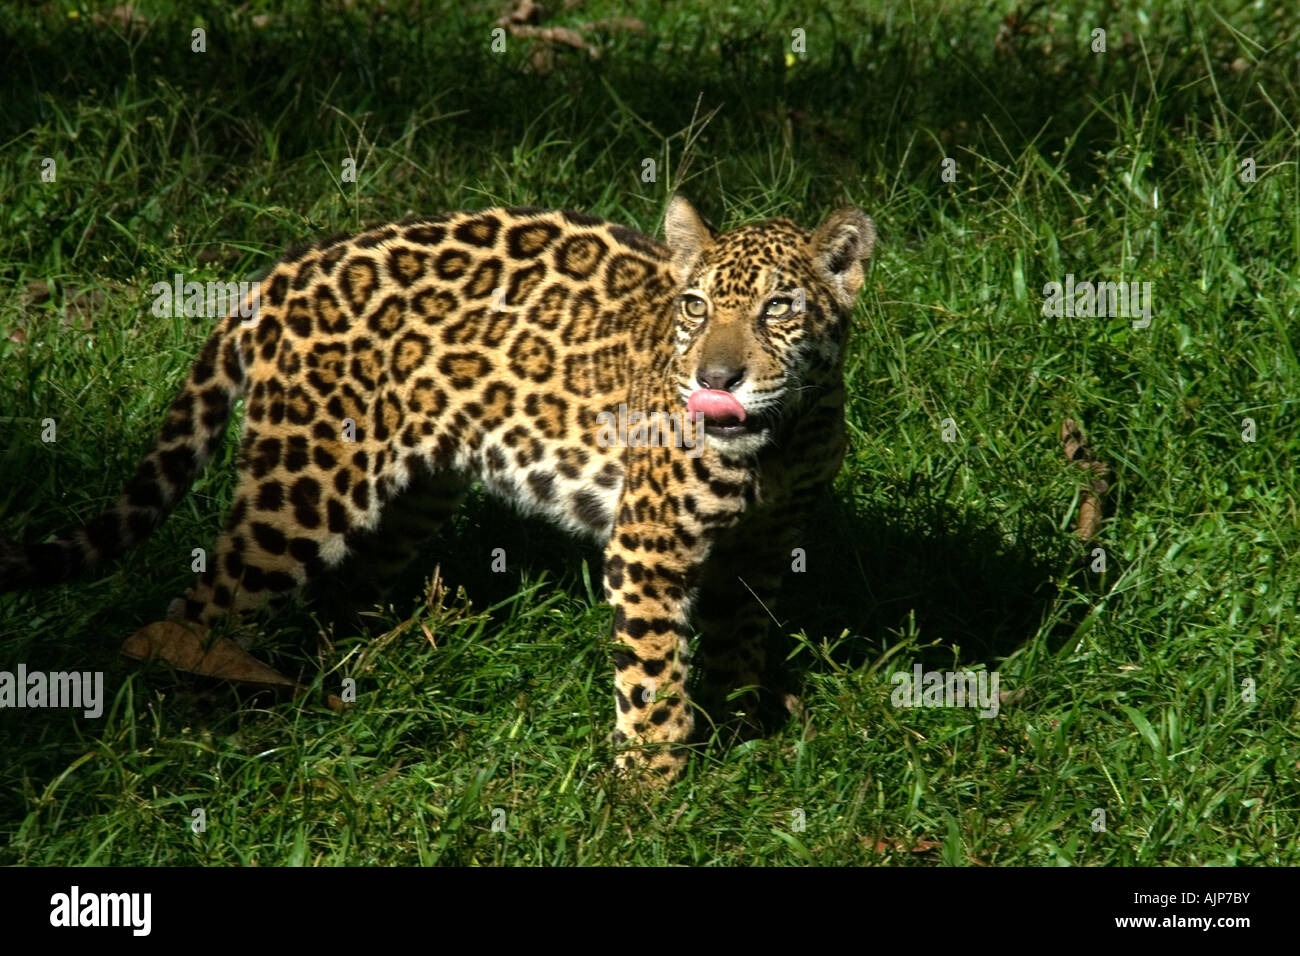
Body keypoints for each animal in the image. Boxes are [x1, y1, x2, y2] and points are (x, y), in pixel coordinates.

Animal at [0, 197, 877, 780]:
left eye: (779, 308)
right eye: (694, 308)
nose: (714, 378)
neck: (781, 439)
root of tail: (280, 274)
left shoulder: (765, 547)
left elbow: (740, 639)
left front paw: (744, 732)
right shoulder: (650, 547)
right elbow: (653, 671)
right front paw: (652, 792)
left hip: (414, 492)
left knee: (344, 592)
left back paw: (369, 669)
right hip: (304, 484)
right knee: (203, 602)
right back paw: (196, 726)